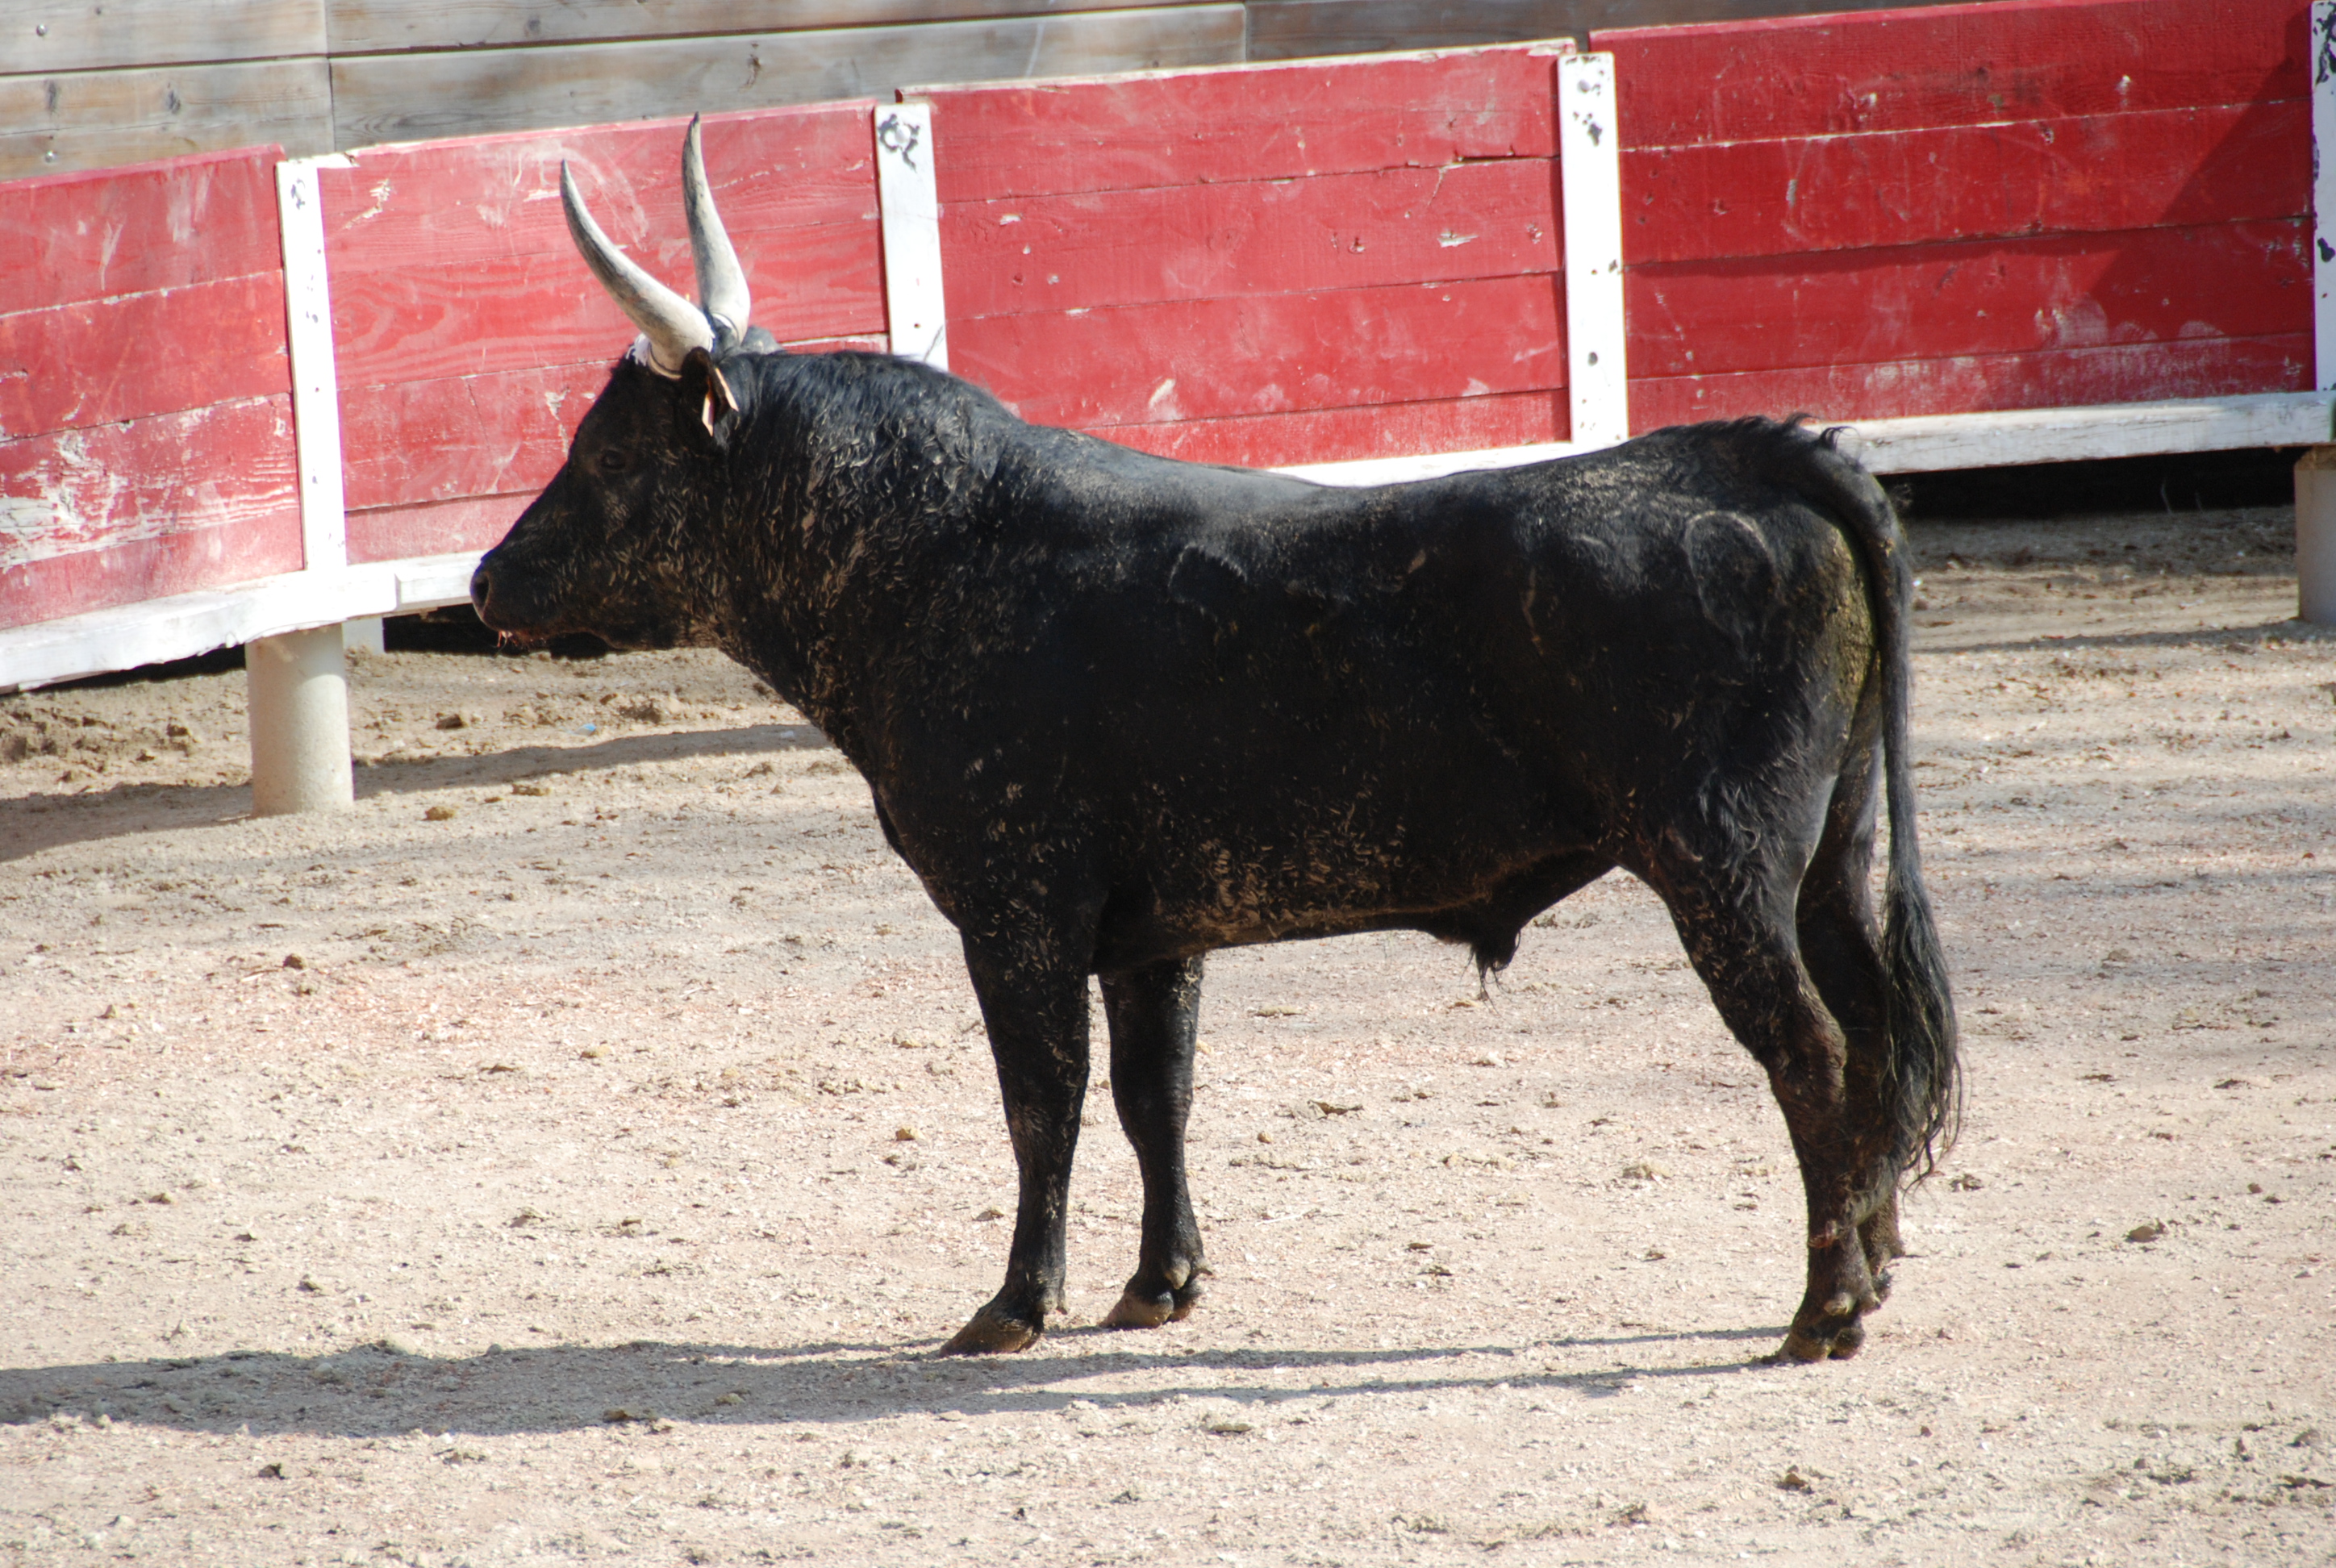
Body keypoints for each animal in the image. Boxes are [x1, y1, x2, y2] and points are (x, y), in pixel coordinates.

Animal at [469, 135, 1953, 1364]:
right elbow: (1154, 1093)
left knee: (1812, 1048)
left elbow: (1045, 1100)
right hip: (1833, 854)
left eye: (611, 459)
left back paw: (1823, 1309)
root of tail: (1751, 457)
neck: (938, 552)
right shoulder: (1154, 930)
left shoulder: (1015, 911)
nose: (486, 577)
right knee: (1876, 1028)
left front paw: (1014, 1304)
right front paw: (1157, 1284)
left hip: (1719, 864)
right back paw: (1876, 1266)